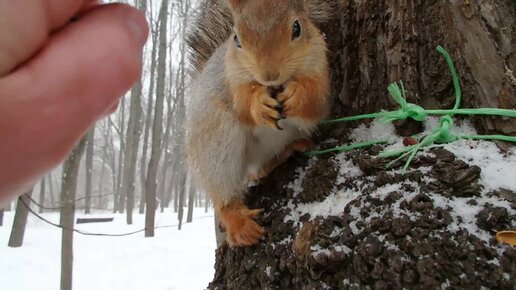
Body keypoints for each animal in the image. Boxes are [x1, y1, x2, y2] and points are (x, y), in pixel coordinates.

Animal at [185, 0, 334, 247]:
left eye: (297, 28)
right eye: (236, 38)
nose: (269, 74)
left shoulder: (319, 66)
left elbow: (315, 102)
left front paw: (297, 95)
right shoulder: (231, 77)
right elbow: (243, 103)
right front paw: (258, 104)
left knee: (262, 170)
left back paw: (285, 153)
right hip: (216, 141)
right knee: (223, 194)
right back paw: (239, 223)